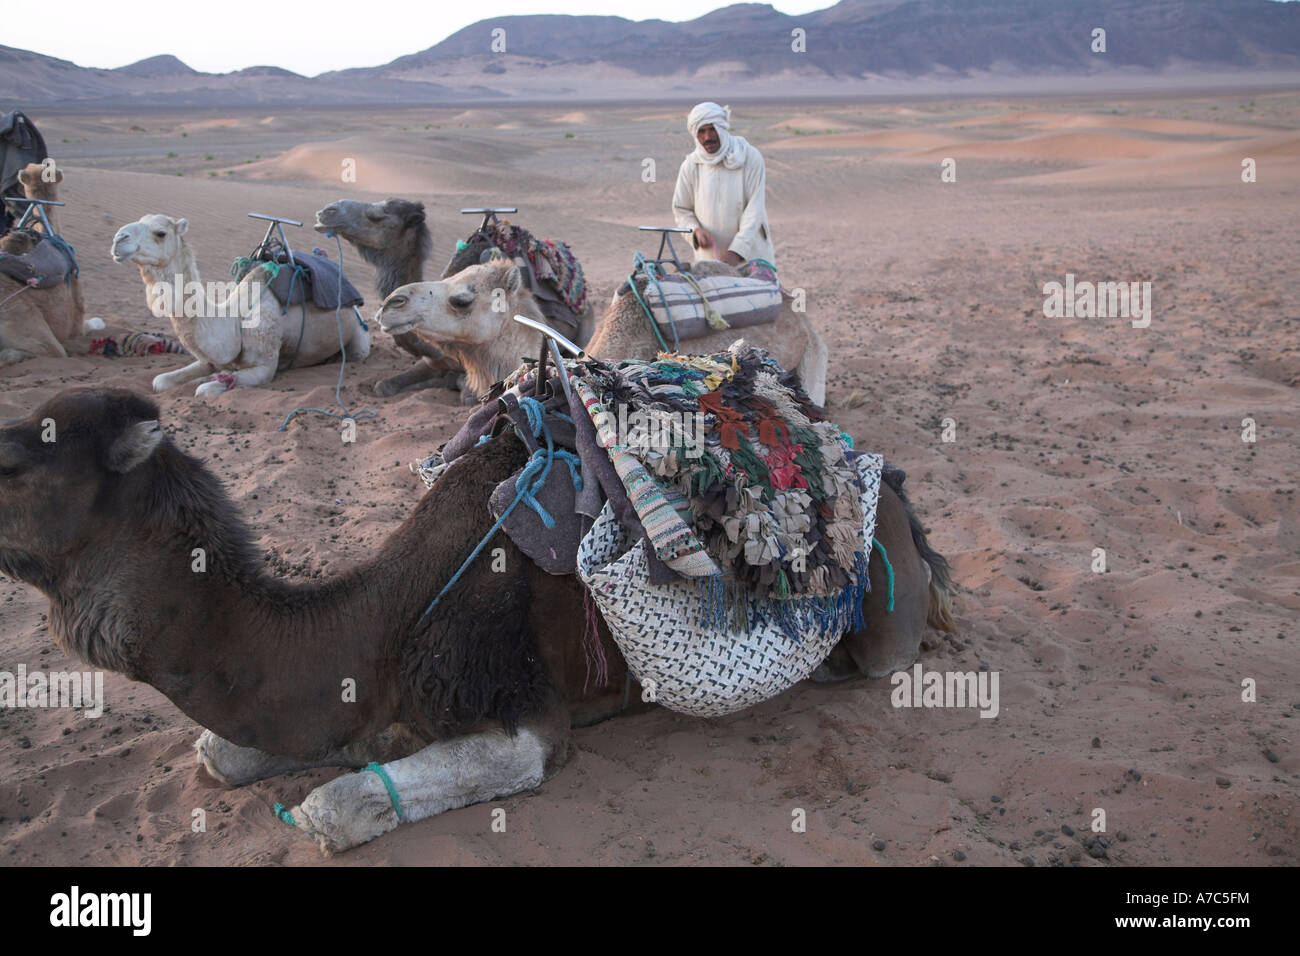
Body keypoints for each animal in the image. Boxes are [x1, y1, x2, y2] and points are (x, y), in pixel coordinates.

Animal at [0, 386, 955, 854]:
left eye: (19, 457)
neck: (382, 619)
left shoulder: (520, 709)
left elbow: (335, 806)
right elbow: (223, 751)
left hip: (884, 617)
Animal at [110, 214, 370, 397]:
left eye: (160, 233)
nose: (118, 239)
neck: (234, 318)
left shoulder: (264, 367)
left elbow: (204, 390)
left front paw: (207, 382)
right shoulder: (209, 359)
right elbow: (160, 381)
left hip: (358, 336)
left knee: (358, 351)